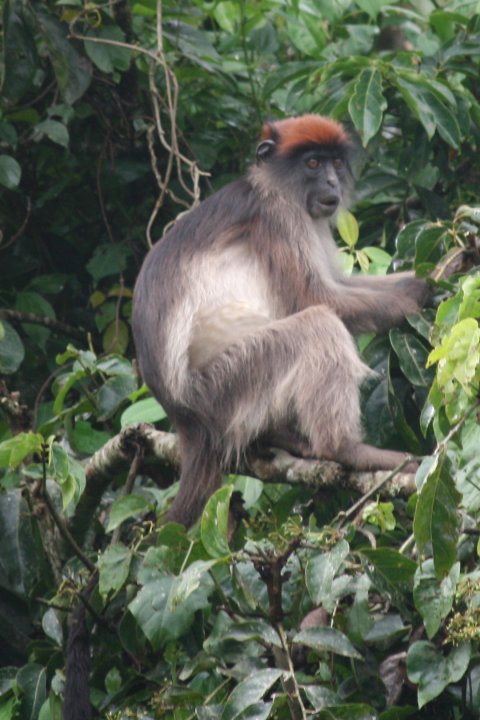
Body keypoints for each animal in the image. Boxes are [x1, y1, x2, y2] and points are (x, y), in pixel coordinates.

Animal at [132, 114, 427, 528]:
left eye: (336, 164)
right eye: (313, 164)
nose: (332, 183)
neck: (273, 186)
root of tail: (188, 422)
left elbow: (338, 286)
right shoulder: (277, 217)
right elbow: (319, 299)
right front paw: (422, 292)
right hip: (225, 387)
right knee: (317, 325)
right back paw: (344, 449)